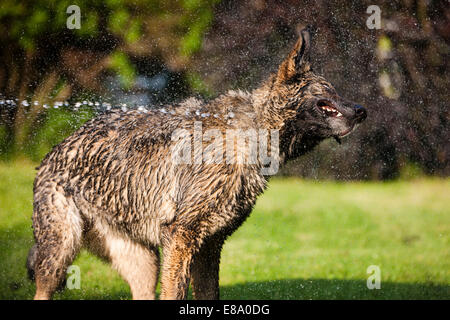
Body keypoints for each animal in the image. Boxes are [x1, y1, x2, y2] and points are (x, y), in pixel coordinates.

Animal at [27, 27, 366, 300]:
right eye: (328, 92)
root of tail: (53, 153)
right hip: (60, 252)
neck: (251, 132)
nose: (362, 110)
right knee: (43, 290)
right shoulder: (183, 239)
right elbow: (176, 292)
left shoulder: (209, 246)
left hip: (145, 264)